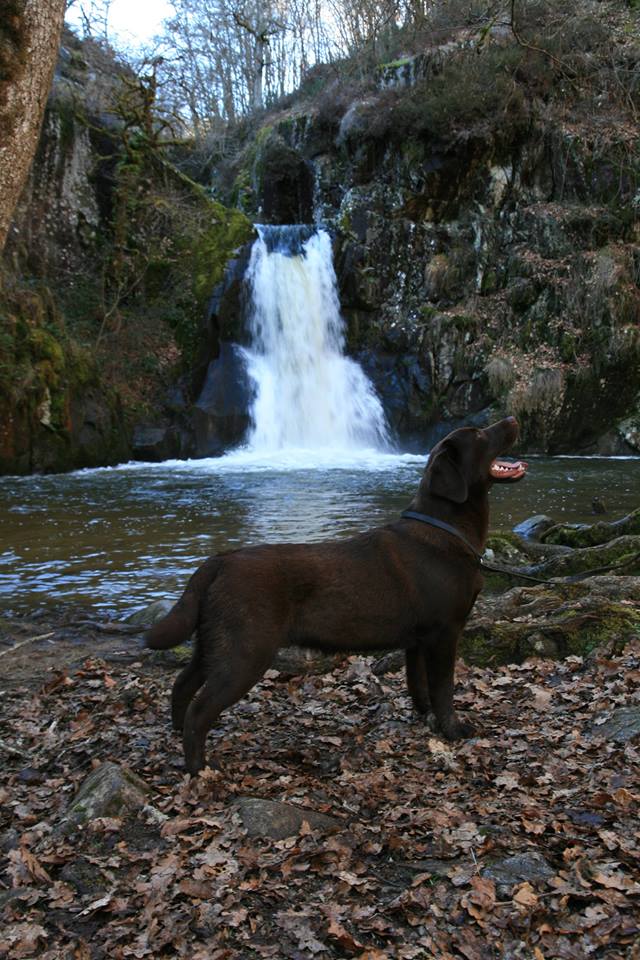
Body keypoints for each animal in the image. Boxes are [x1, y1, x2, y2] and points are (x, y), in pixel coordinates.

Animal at [148, 414, 528, 772]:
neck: (446, 529)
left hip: (213, 643)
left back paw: (175, 734)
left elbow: (418, 685)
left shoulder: (418, 642)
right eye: (478, 434)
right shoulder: (445, 633)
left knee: (182, 685)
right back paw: (199, 768)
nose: (512, 419)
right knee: (200, 710)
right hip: (245, 652)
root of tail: (219, 560)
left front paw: (425, 719)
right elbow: (443, 689)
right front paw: (453, 730)